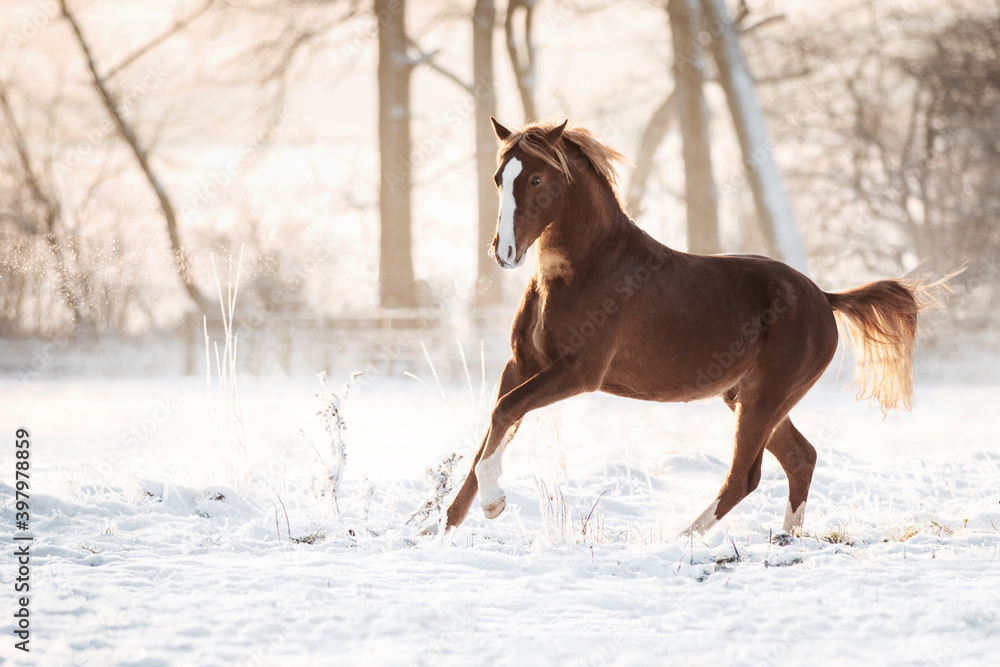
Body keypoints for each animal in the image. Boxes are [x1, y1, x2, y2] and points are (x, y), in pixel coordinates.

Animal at [446, 118, 920, 536]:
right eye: (498, 178)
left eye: (536, 179)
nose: (504, 252)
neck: (585, 270)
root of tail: (824, 297)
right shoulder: (522, 364)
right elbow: (492, 428)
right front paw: (443, 529)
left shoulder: (579, 372)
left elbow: (505, 411)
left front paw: (493, 504)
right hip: (745, 396)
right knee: (800, 458)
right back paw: (787, 540)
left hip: (764, 399)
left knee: (745, 477)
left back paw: (680, 540)